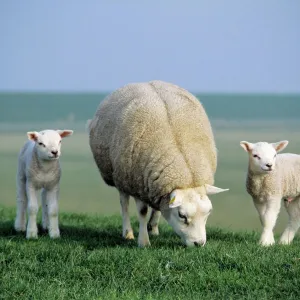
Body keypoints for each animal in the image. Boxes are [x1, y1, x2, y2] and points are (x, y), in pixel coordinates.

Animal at [88, 79, 229, 246]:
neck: (184, 173)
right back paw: (128, 232)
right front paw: (143, 242)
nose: (199, 243)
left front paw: (150, 231)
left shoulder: (155, 183)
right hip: (121, 176)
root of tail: (144, 82)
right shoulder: (137, 183)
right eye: (182, 216)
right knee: (124, 202)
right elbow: (142, 211)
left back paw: (153, 228)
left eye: (208, 213)